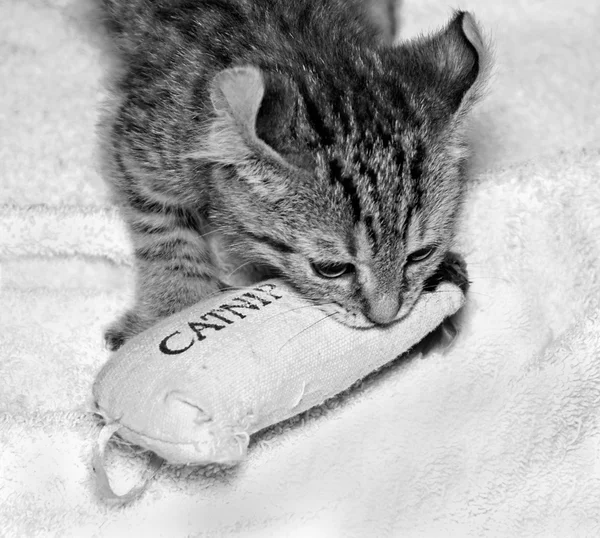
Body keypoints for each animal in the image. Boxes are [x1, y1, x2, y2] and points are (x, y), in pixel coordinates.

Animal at [98, 0, 490, 350]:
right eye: (331, 269)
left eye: (421, 254)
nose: (385, 317)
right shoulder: (139, 145)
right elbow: (165, 234)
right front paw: (176, 308)